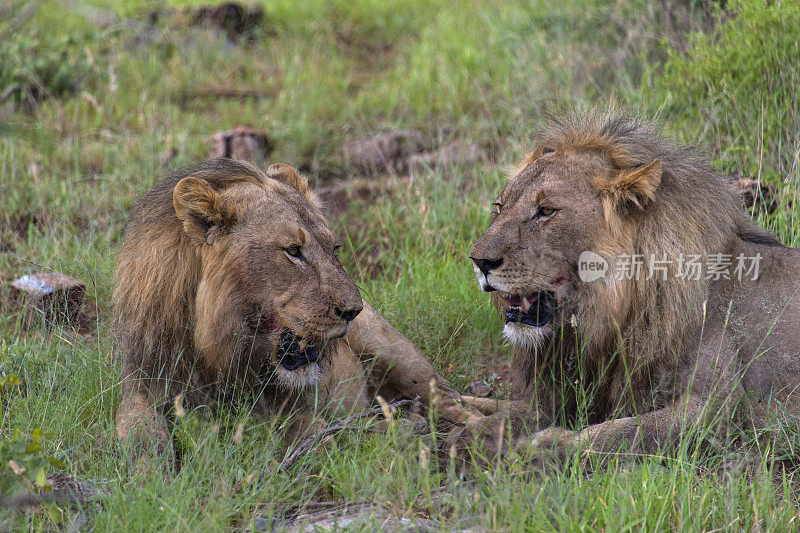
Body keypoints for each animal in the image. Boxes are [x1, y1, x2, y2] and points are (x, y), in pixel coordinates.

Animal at [112, 156, 476, 464]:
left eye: (334, 248)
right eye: (293, 250)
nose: (353, 310)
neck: (217, 352)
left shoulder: (293, 407)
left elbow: (316, 439)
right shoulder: (142, 383)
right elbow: (139, 432)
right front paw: (150, 477)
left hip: (397, 353)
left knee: (453, 402)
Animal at [460, 112, 800, 466]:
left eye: (547, 211)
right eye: (499, 206)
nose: (479, 261)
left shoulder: (718, 407)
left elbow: (617, 433)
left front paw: (537, 447)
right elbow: (511, 409)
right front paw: (465, 414)